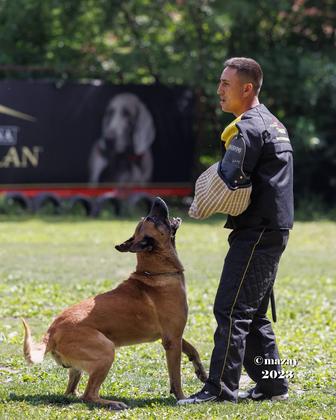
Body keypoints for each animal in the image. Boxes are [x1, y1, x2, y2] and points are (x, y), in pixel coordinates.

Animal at [21, 198, 207, 410]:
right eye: (151, 218)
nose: (156, 200)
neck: (155, 272)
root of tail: (52, 331)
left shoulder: (173, 335)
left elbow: (193, 350)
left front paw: (202, 372)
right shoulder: (171, 340)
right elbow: (176, 377)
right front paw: (182, 398)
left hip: (83, 365)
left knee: (71, 392)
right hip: (106, 352)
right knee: (88, 395)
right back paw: (113, 403)